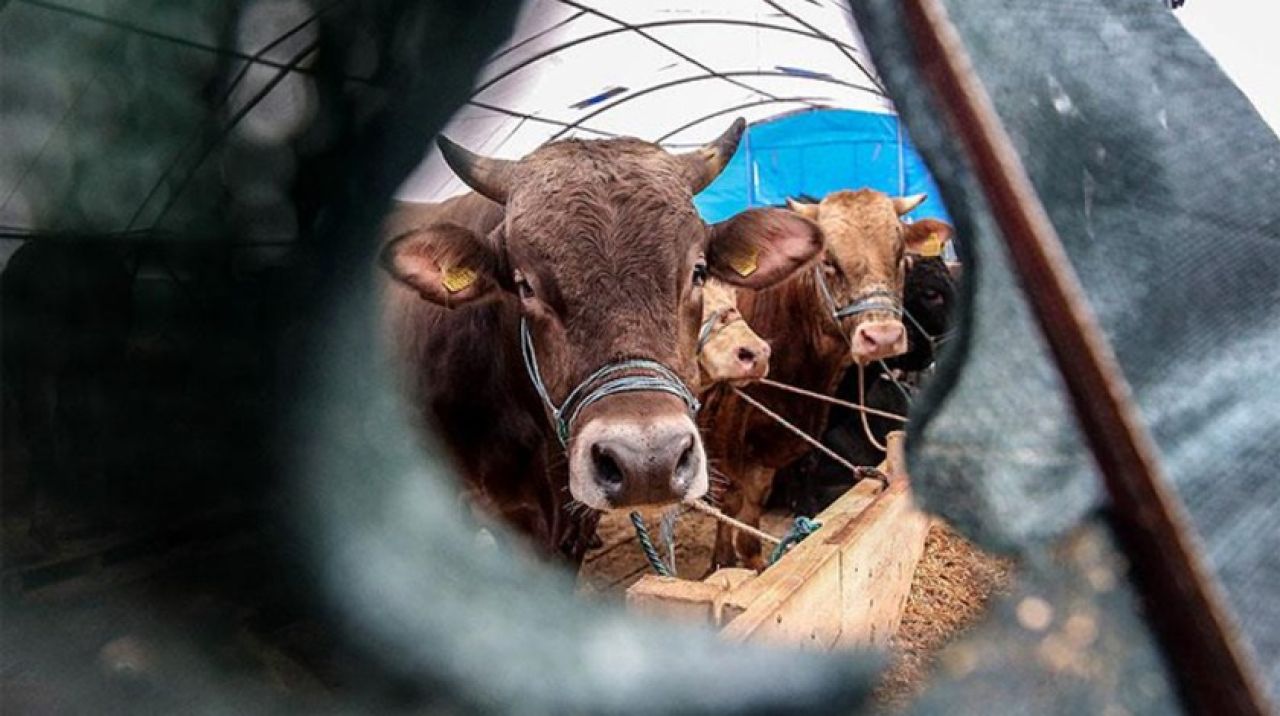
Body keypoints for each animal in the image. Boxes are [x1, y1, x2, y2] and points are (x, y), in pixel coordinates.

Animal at [696, 190, 947, 571]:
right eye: (829, 261)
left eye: (901, 256)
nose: (882, 337)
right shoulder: (731, 447)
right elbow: (737, 517)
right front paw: (725, 564)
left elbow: (747, 521)